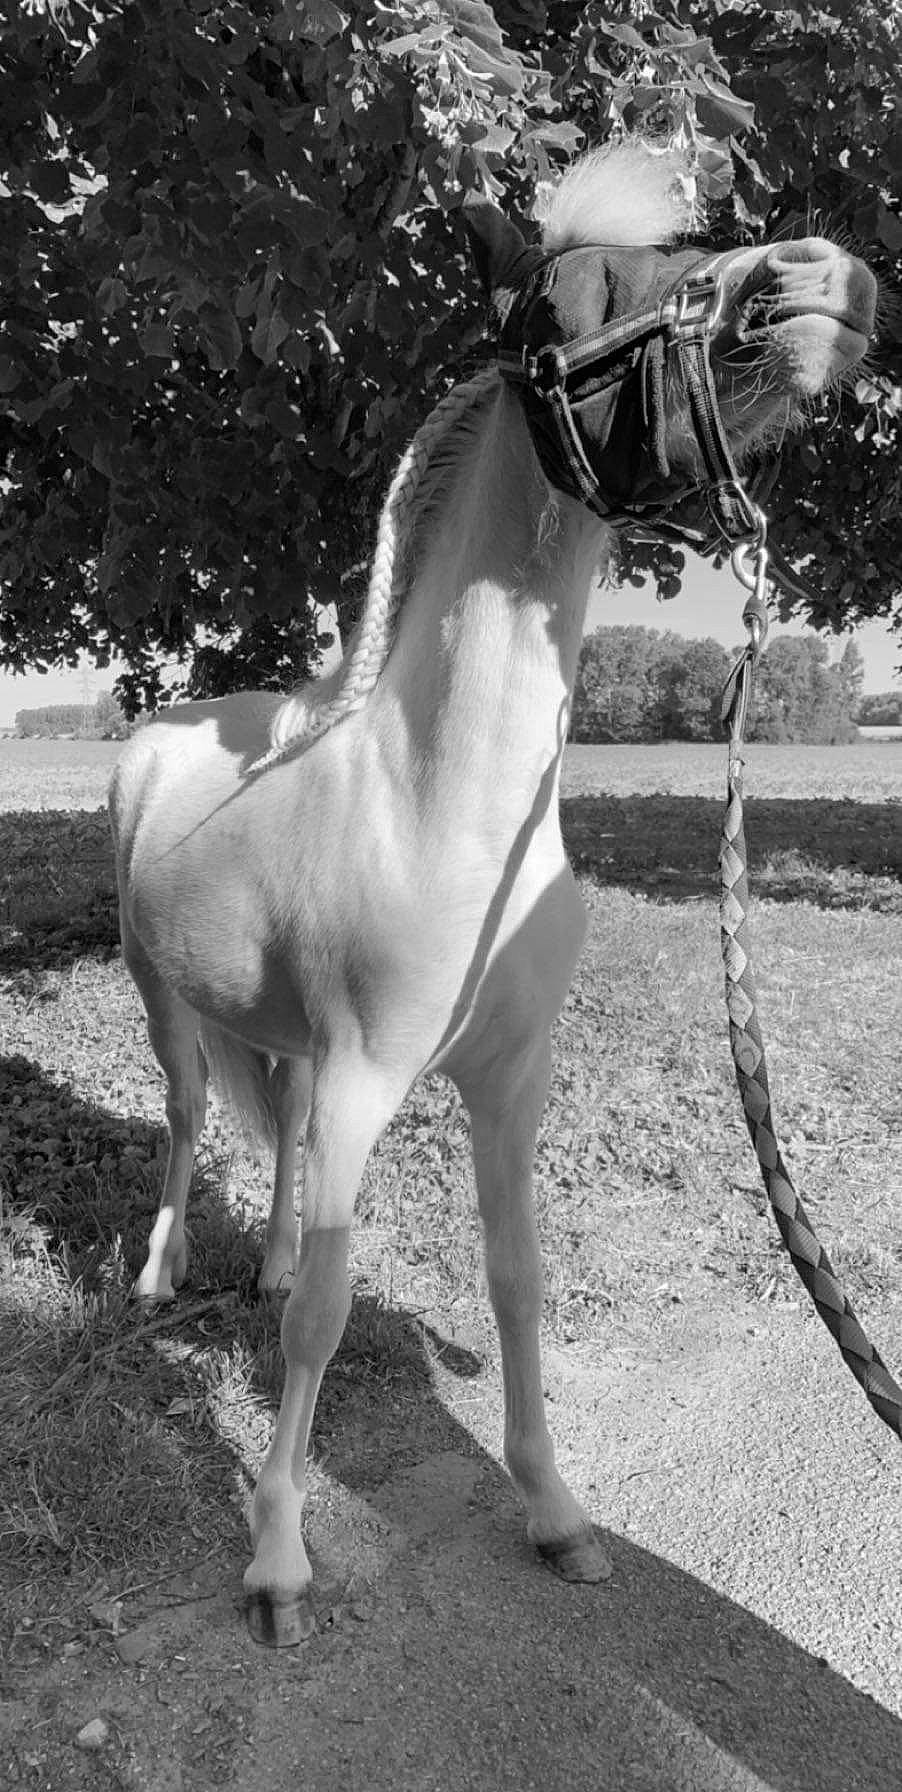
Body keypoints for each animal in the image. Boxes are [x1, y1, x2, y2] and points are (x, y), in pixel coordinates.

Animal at [109, 141, 877, 1646]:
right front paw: (278, 1564)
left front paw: (552, 1510)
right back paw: (163, 1277)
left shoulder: (510, 1080)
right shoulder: (367, 1079)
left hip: (286, 1043)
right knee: (185, 1124)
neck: (441, 811)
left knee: (274, 1137)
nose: (819, 279)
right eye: (576, 297)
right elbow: (327, 1316)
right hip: (166, 1006)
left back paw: (261, 1258)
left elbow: (515, 1283)